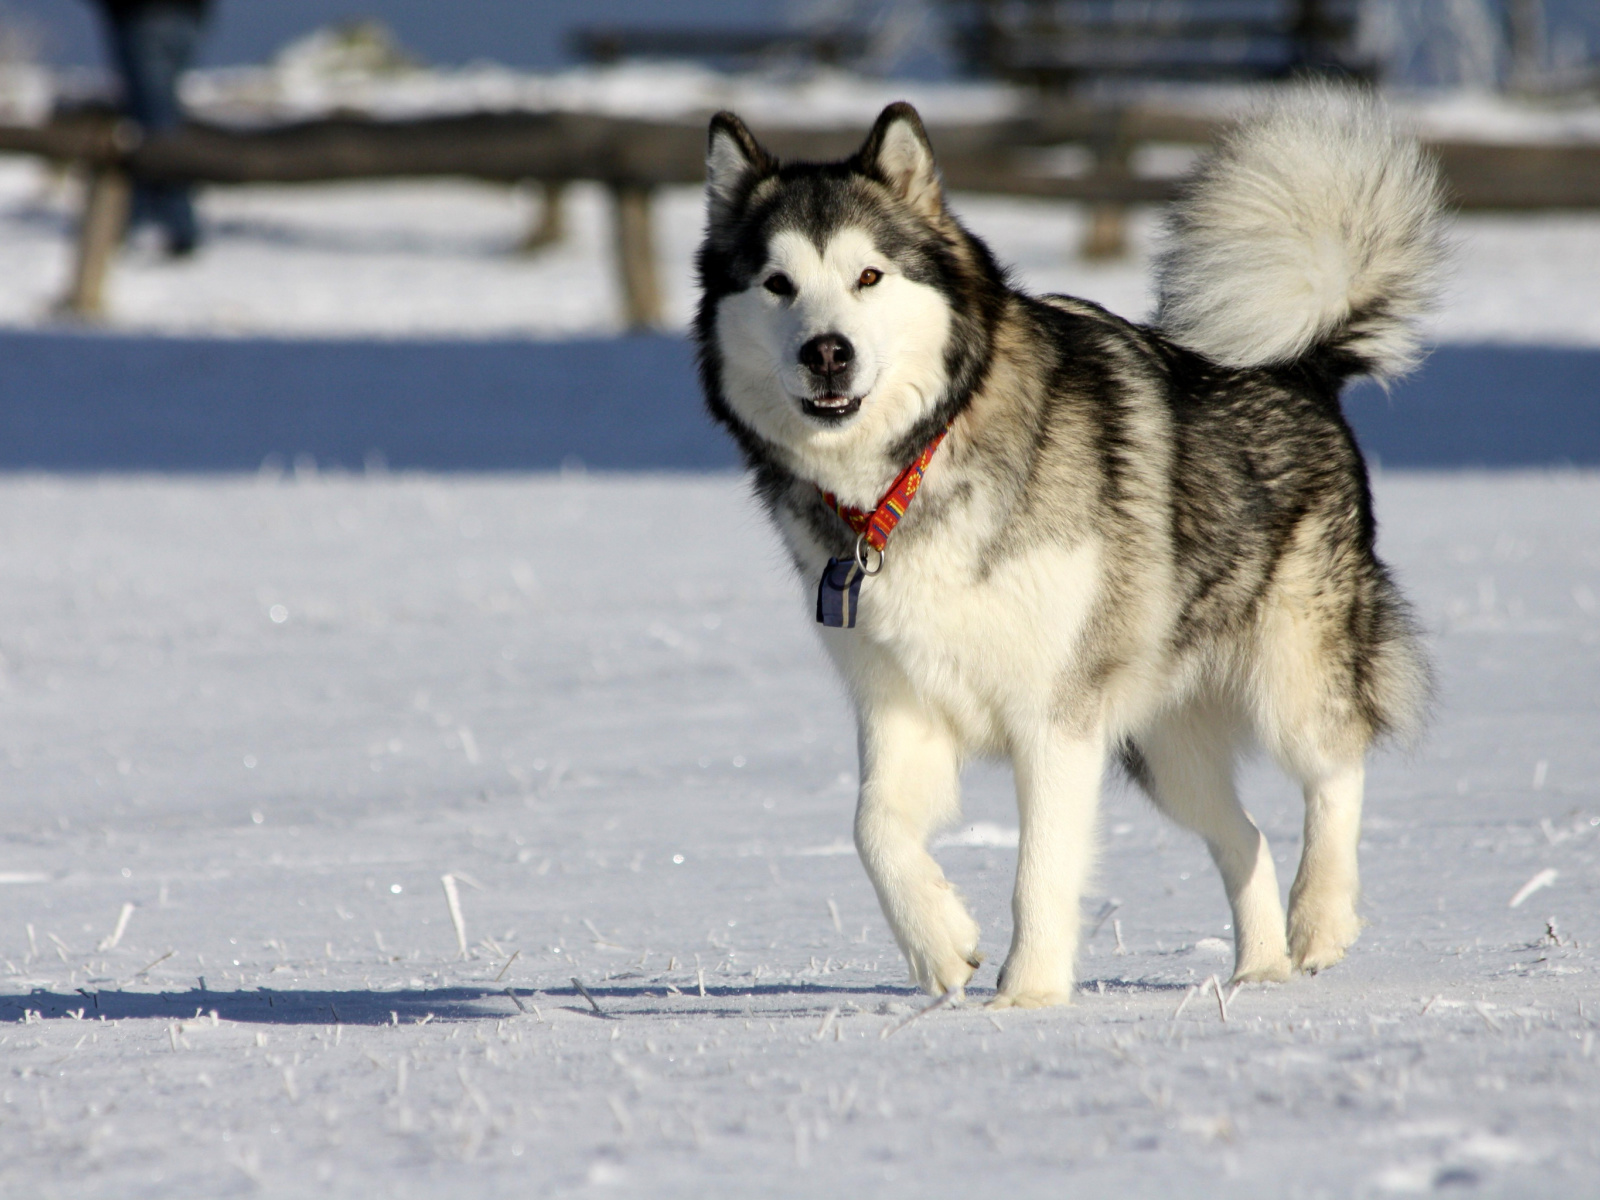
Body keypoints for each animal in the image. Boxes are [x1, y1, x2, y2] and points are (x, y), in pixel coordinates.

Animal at [694, 86, 1446, 1004]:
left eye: (868, 276)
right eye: (777, 284)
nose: (826, 352)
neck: (915, 469)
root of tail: (1300, 367)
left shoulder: (1056, 718)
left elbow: (1041, 870)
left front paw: (1027, 997)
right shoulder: (900, 703)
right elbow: (872, 829)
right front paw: (940, 945)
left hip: (1290, 673)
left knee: (1337, 767)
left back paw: (1320, 918)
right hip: (1162, 746)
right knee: (1244, 836)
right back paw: (1259, 970)